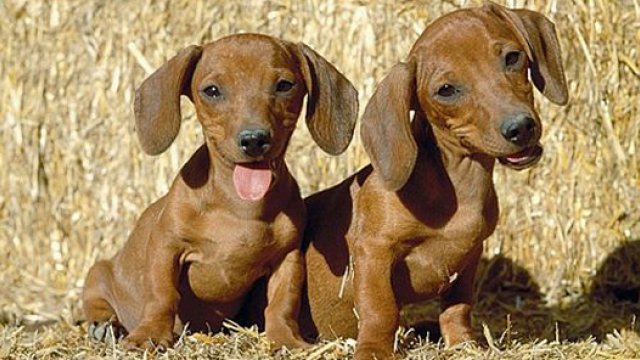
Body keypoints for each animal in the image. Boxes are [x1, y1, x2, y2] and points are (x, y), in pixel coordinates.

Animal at [82, 33, 358, 348]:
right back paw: (104, 325)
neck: (238, 207)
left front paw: (285, 338)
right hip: (97, 275)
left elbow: (281, 303)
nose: (254, 140)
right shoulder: (166, 247)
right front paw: (149, 334)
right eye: (212, 91)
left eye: (285, 85)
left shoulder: (287, 258)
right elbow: (161, 296)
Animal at [302, 3, 568, 360]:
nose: (521, 127)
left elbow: (458, 309)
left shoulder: (469, 257)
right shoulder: (373, 251)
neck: (458, 183)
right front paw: (373, 349)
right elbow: (380, 310)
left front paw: (464, 345)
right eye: (446, 90)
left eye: (512, 58)